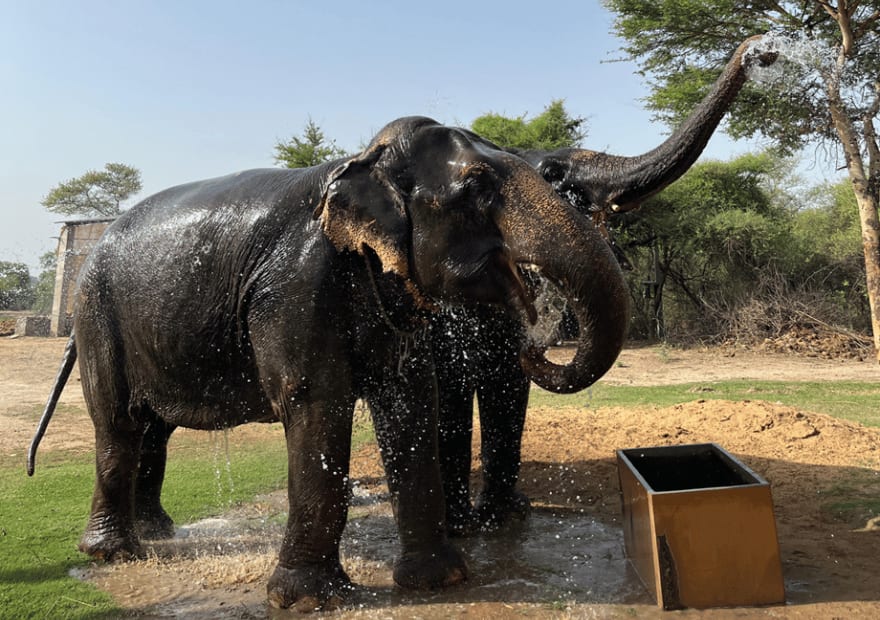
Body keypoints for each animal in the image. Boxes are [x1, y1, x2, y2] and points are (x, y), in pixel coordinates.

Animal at [28, 116, 630, 611]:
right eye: (478, 186)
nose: (534, 342)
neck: (361, 163)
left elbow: (410, 401)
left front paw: (439, 582)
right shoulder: (297, 285)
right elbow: (317, 401)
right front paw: (306, 600)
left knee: (154, 427)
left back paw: (159, 534)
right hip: (97, 317)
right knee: (120, 423)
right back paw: (115, 554)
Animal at [436, 35, 780, 533]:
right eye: (554, 175)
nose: (762, 47)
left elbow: (508, 384)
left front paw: (506, 514)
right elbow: (449, 389)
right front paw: (463, 525)